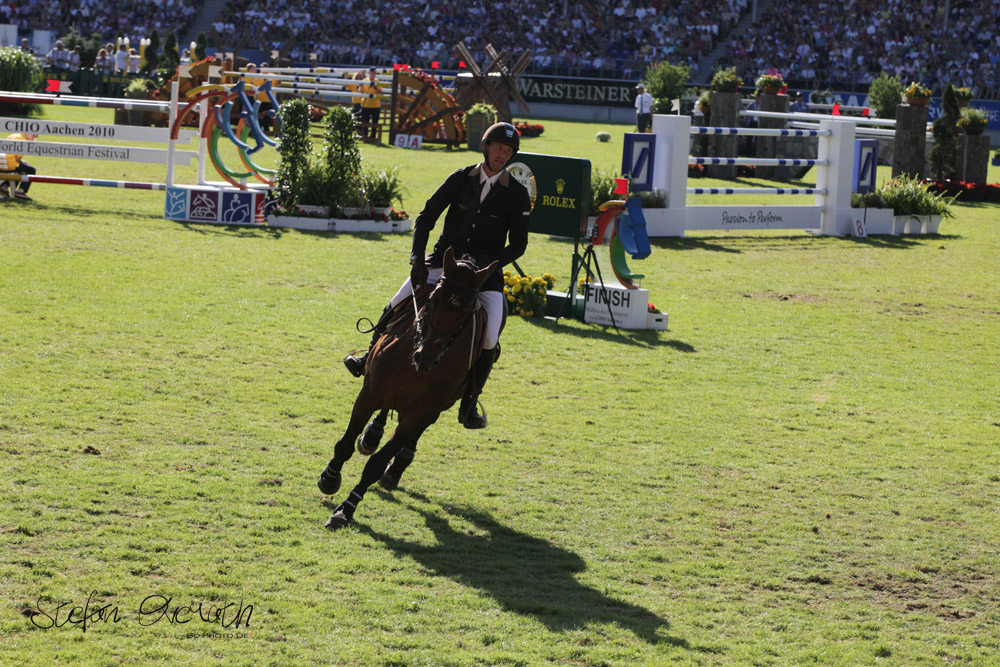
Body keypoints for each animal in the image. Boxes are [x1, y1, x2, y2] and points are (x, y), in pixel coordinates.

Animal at [318, 248, 498, 528]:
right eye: (432, 301)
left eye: (467, 314)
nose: (426, 358)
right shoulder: (369, 393)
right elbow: (345, 443)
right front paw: (329, 477)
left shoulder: (421, 413)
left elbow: (377, 462)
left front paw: (346, 509)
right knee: (385, 412)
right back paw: (371, 436)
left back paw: (397, 465)